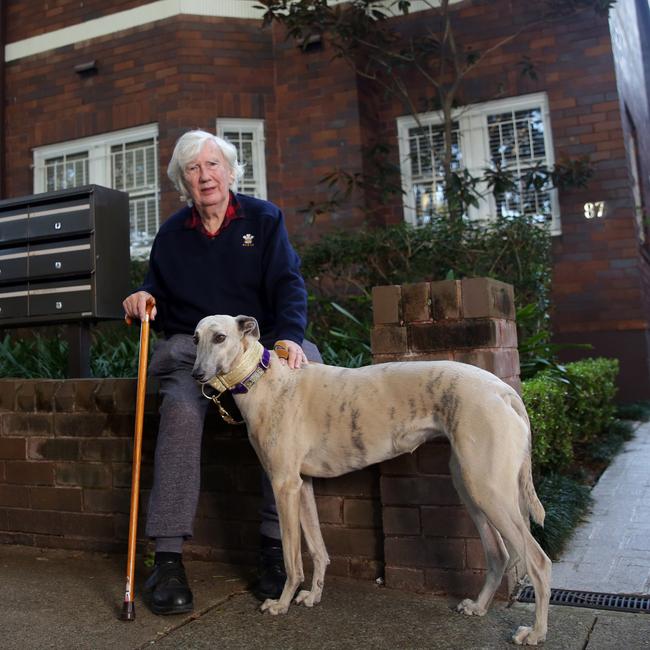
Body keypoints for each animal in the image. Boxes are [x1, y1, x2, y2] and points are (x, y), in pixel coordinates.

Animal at [190, 314, 548, 644]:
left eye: (220, 337)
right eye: (195, 338)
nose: (197, 375)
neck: (264, 379)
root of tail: (504, 390)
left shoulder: (284, 485)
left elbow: (293, 559)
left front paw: (281, 604)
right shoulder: (302, 485)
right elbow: (318, 549)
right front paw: (313, 595)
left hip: (488, 489)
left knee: (538, 562)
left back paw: (535, 633)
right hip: (470, 486)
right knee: (499, 553)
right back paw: (478, 606)